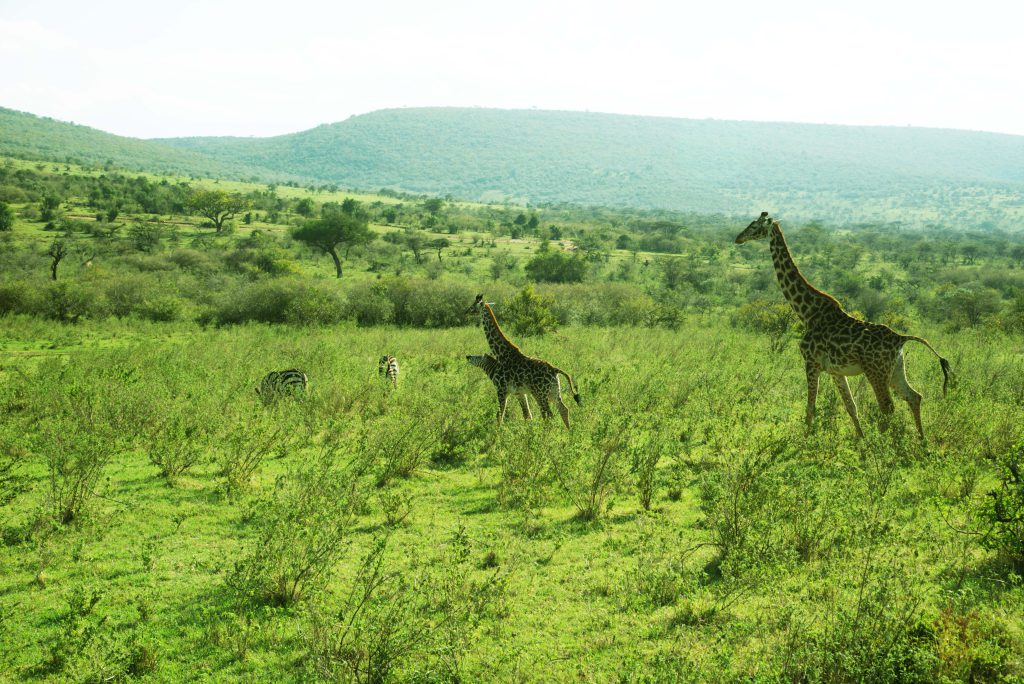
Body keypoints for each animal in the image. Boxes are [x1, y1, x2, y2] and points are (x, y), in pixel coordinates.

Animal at [466, 294, 581, 428]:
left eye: (473, 306)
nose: (466, 311)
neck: (501, 353)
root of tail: (555, 370)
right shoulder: (520, 392)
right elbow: (527, 416)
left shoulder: (502, 389)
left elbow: (500, 416)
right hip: (554, 392)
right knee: (563, 409)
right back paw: (568, 432)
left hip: (541, 393)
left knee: (549, 415)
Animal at [737, 210, 950, 440]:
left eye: (754, 226)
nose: (738, 238)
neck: (807, 312)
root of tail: (901, 339)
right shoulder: (835, 371)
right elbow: (851, 407)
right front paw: (861, 440)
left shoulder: (811, 363)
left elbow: (810, 407)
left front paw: (804, 441)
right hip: (895, 370)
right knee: (914, 396)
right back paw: (921, 440)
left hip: (876, 371)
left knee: (887, 407)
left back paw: (886, 444)